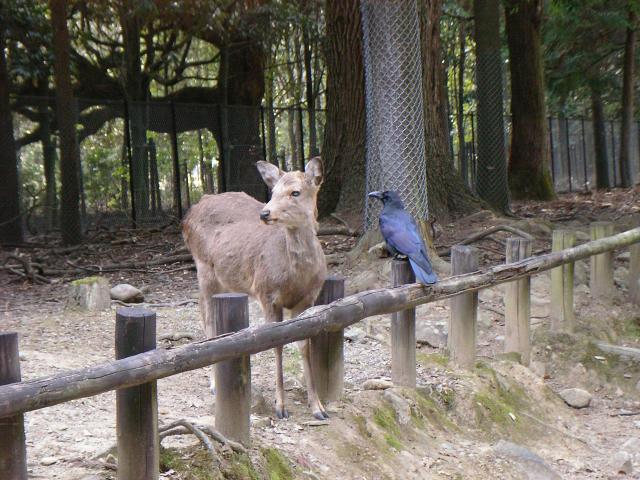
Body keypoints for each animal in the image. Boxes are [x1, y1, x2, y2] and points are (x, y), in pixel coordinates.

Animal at [182, 157, 328, 420]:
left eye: (295, 192)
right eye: (273, 191)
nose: (265, 213)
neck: (296, 277)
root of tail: (190, 212)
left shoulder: (308, 299)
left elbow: (304, 345)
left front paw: (318, 407)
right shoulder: (266, 292)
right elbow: (276, 344)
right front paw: (281, 407)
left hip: (227, 281)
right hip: (204, 269)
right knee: (207, 321)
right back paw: (214, 384)